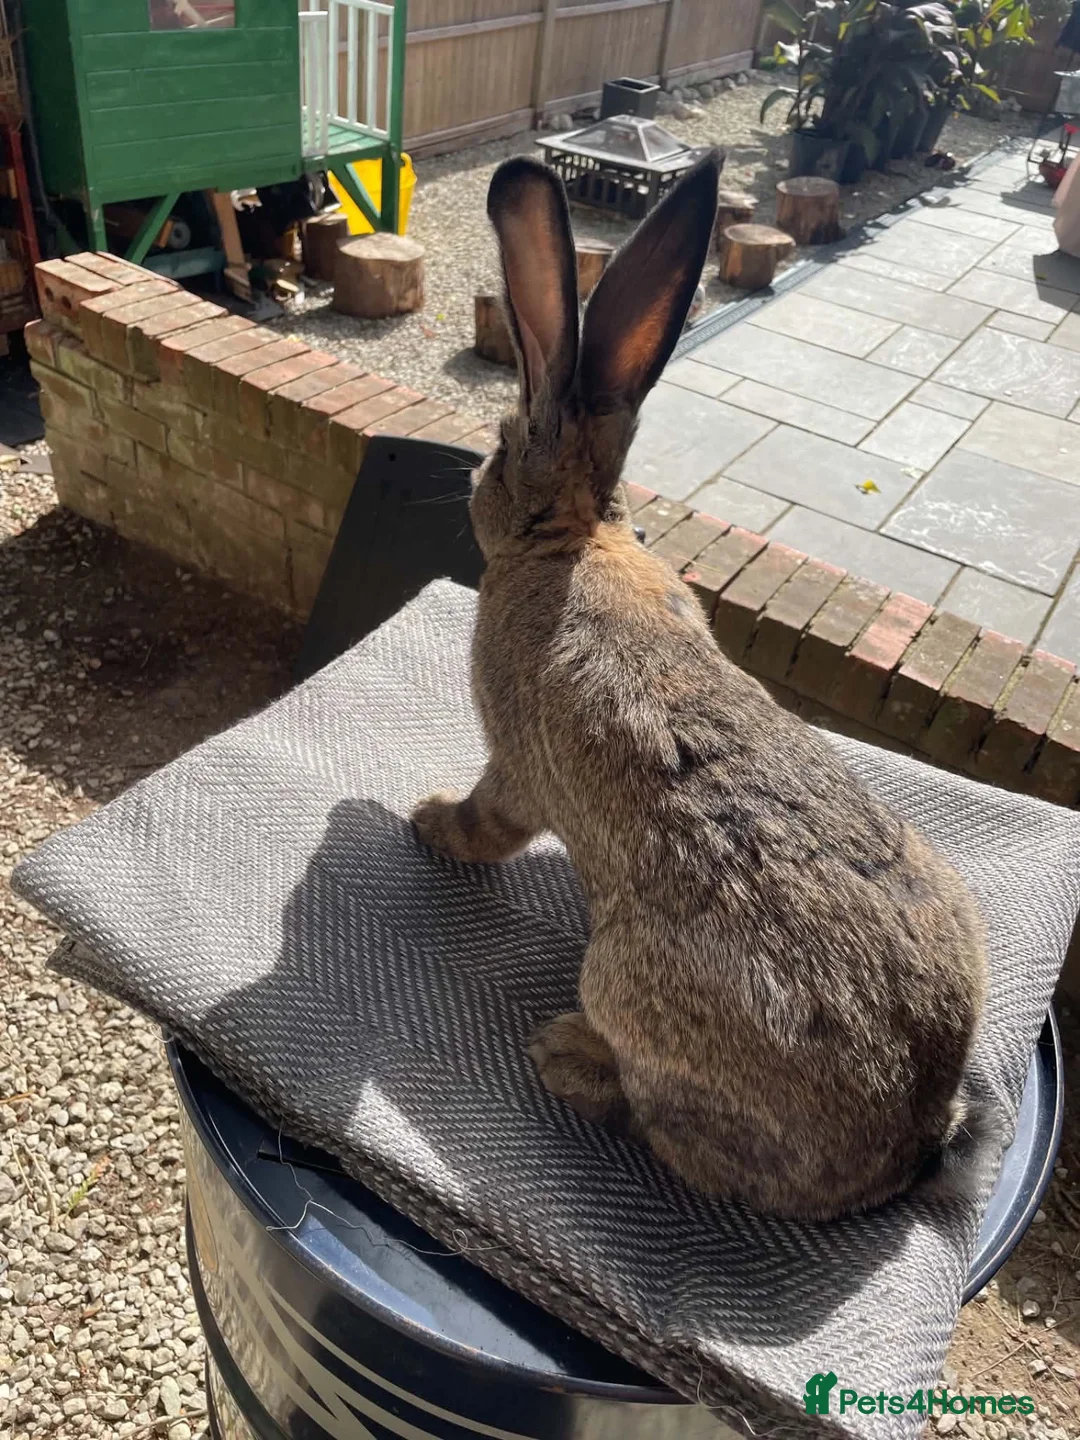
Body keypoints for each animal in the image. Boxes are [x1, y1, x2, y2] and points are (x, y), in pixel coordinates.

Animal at [411, 150, 988, 1222]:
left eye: (504, 451)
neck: (573, 538)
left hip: (632, 986)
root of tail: (907, 1140)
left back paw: (565, 1056)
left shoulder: (512, 761)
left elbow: (490, 819)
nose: (473, 478)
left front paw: (428, 821)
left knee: (661, 1128)